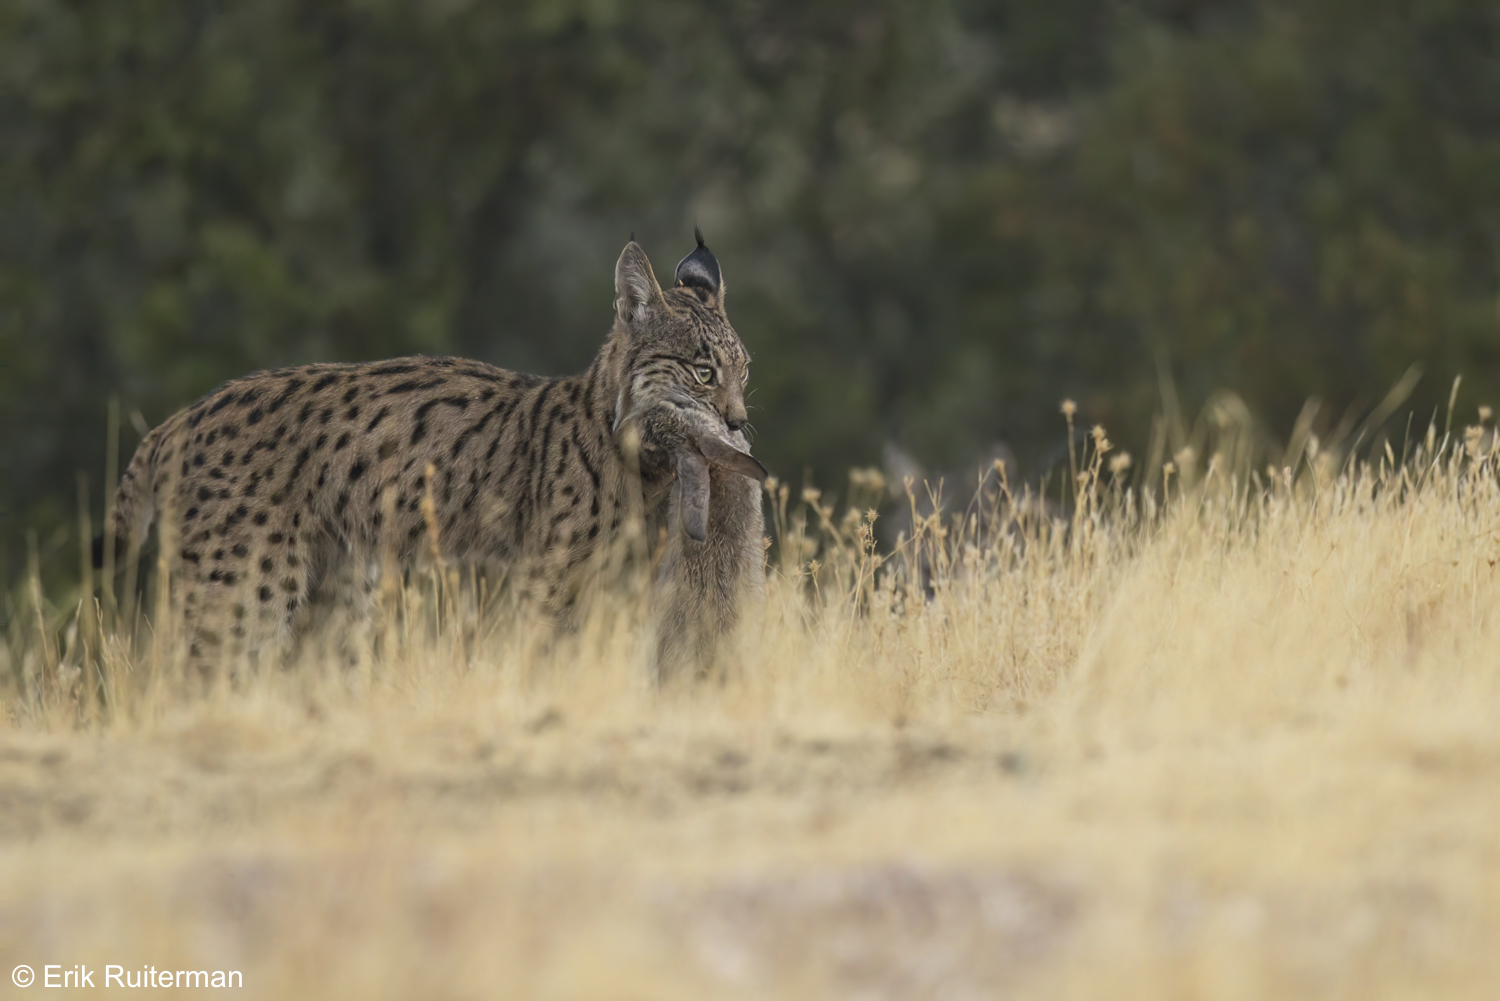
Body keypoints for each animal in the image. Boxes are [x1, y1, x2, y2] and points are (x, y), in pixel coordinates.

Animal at [99, 232, 768, 680]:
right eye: (703, 372)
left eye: (743, 371)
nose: (737, 424)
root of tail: (182, 416)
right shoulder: (551, 580)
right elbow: (546, 660)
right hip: (243, 587)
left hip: (337, 586)